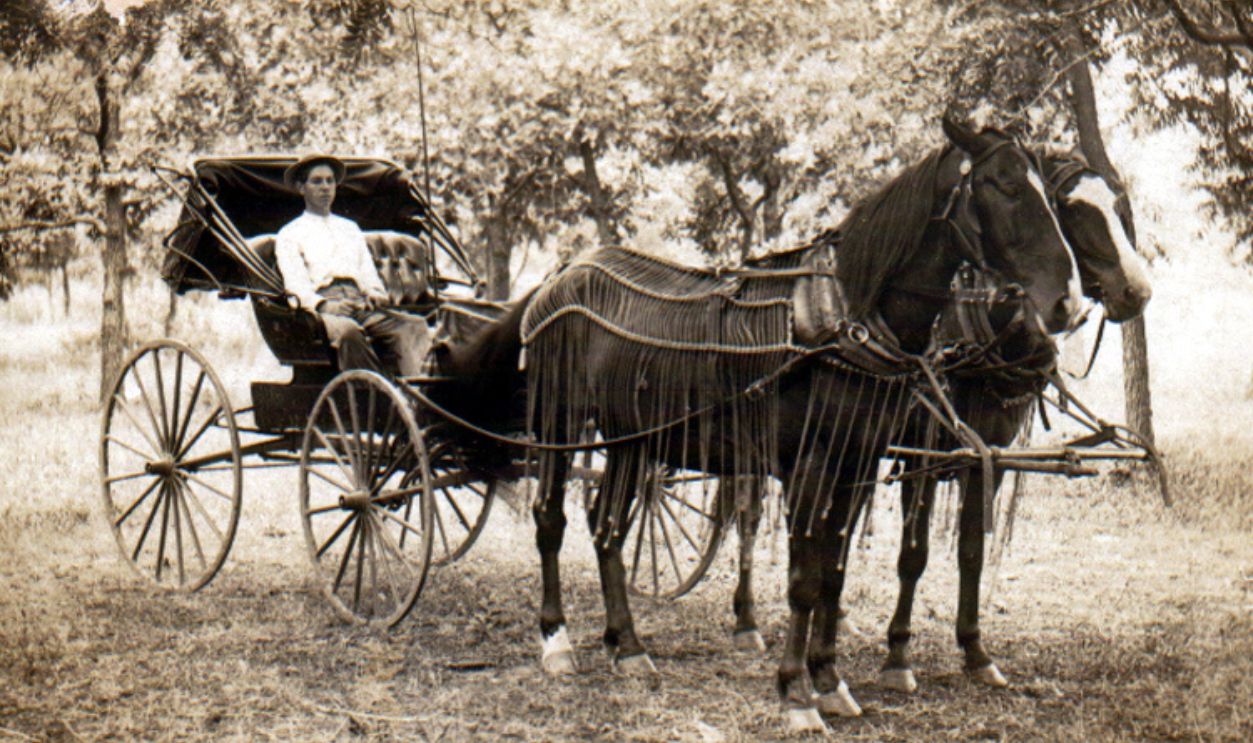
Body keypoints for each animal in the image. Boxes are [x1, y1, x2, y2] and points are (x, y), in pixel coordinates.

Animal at [502, 119, 1087, 733]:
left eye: (1049, 195)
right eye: (1006, 185)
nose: (1065, 303)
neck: (844, 318)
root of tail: (563, 271)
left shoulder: (856, 465)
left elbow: (833, 572)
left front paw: (829, 679)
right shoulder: (812, 465)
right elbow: (803, 581)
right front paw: (796, 692)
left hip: (632, 439)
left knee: (606, 526)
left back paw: (628, 645)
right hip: (559, 421)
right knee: (551, 520)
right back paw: (557, 641)